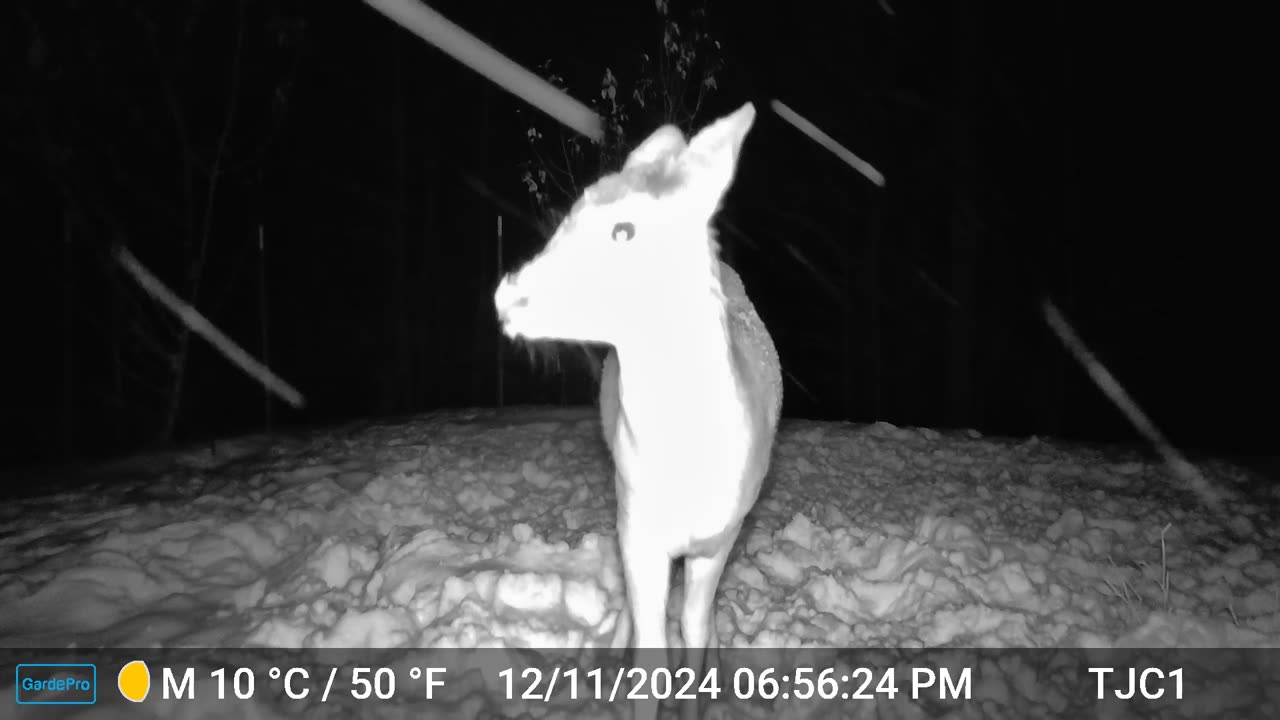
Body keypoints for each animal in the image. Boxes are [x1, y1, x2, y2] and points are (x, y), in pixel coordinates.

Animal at [494, 102, 783, 717]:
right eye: (571, 213)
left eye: (624, 230)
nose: (508, 295)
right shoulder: (637, 525)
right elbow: (652, 649)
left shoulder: (719, 536)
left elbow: (693, 628)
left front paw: (701, 694)